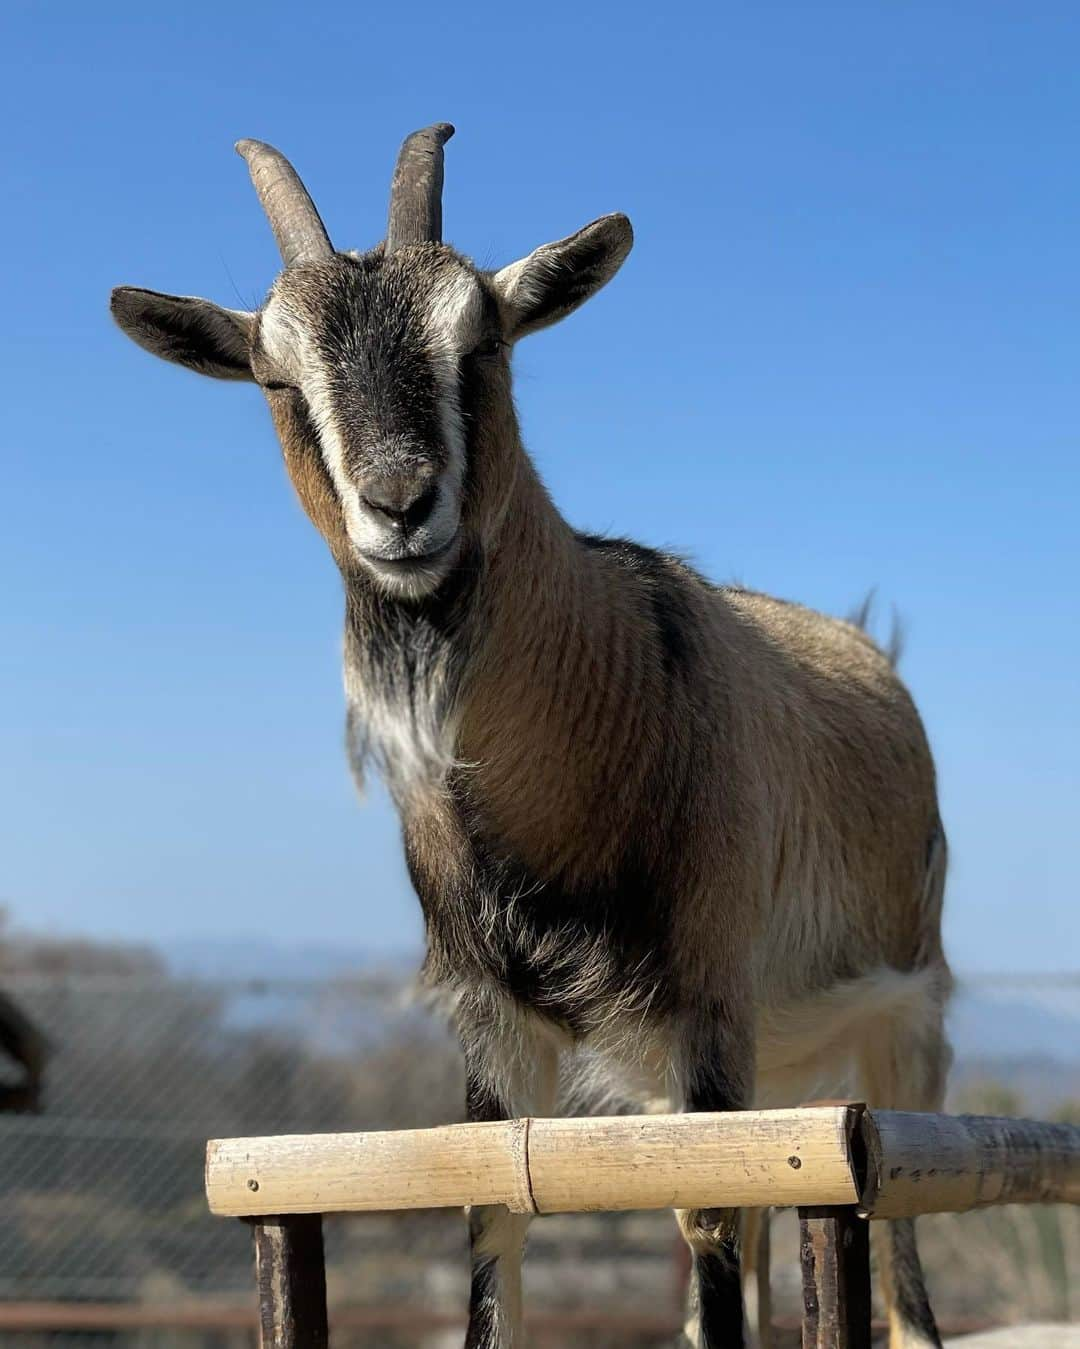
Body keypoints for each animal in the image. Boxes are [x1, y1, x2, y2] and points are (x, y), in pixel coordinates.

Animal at [111, 126, 954, 1349]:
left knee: (900, 1248)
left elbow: (708, 1219)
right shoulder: (494, 1021)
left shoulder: (708, 996)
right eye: (276, 372)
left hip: (906, 1011)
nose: (401, 505)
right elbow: (493, 1230)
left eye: (484, 335)